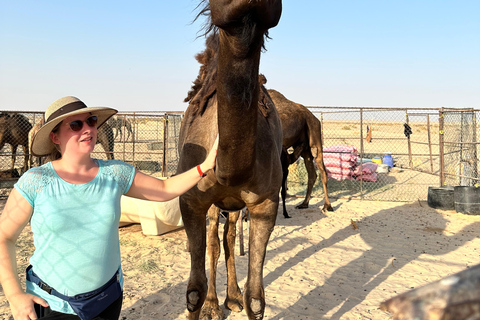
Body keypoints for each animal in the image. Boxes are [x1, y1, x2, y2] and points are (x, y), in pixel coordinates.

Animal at [175, 1, 282, 318]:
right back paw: (214, 304)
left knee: (229, 235)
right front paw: (206, 304)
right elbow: (193, 292)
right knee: (214, 239)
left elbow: (256, 298)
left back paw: (231, 296)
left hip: (234, 204)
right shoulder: (191, 200)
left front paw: (240, 297)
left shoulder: (265, 204)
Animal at [262, 84, 334, 218]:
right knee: (312, 173)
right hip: (304, 147)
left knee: (322, 171)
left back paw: (328, 206)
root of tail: (313, 116)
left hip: (314, 133)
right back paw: (304, 204)